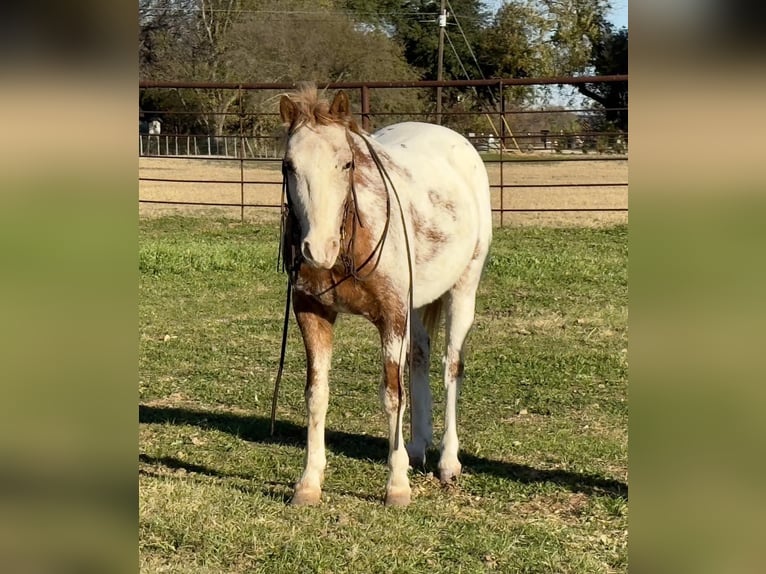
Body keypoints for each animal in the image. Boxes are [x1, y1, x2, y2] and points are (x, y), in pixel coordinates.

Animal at [278, 85, 492, 508]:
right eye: (288, 166)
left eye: (346, 164)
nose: (317, 249)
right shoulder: (312, 312)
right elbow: (316, 394)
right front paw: (308, 483)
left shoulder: (392, 315)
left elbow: (392, 394)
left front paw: (397, 486)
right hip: (419, 302)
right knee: (421, 359)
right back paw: (417, 448)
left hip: (463, 288)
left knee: (451, 366)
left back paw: (448, 462)